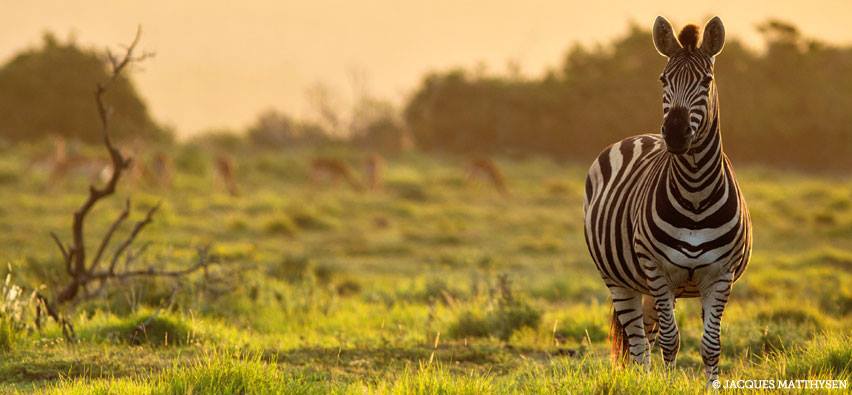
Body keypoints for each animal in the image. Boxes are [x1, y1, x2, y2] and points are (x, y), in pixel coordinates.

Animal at [584, 16, 752, 386]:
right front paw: (668, 384)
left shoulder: (721, 275)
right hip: (620, 280)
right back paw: (643, 382)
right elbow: (671, 341)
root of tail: (640, 136)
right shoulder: (658, 270)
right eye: (663, 79)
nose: (674, 133)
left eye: (706, 80)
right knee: (638, 341)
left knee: (646, 335)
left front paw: (712, 387)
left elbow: (710, 344)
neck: (695, 193)